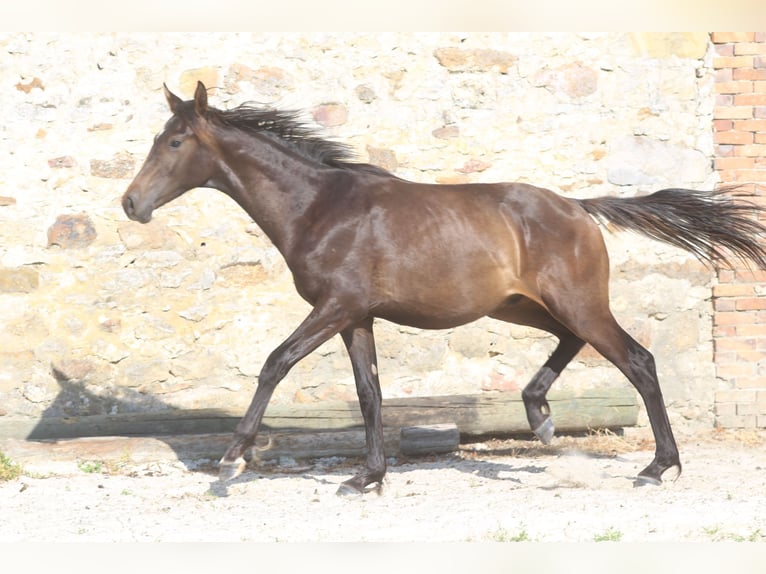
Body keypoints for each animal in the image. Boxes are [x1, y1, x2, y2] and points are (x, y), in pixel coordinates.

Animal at [123, 83, 764, 498]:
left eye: (175, 143)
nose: (131, 203)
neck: (319, 207)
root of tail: (578, 207)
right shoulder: (356, 317)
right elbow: (369, 393)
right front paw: (368, 477)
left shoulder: (335, 307)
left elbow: (275, 363)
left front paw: (232, 460)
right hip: (523, 308)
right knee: (573, 343)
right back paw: (539, 416)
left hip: (577, 304)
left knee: (639, 360)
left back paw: (659, 467)